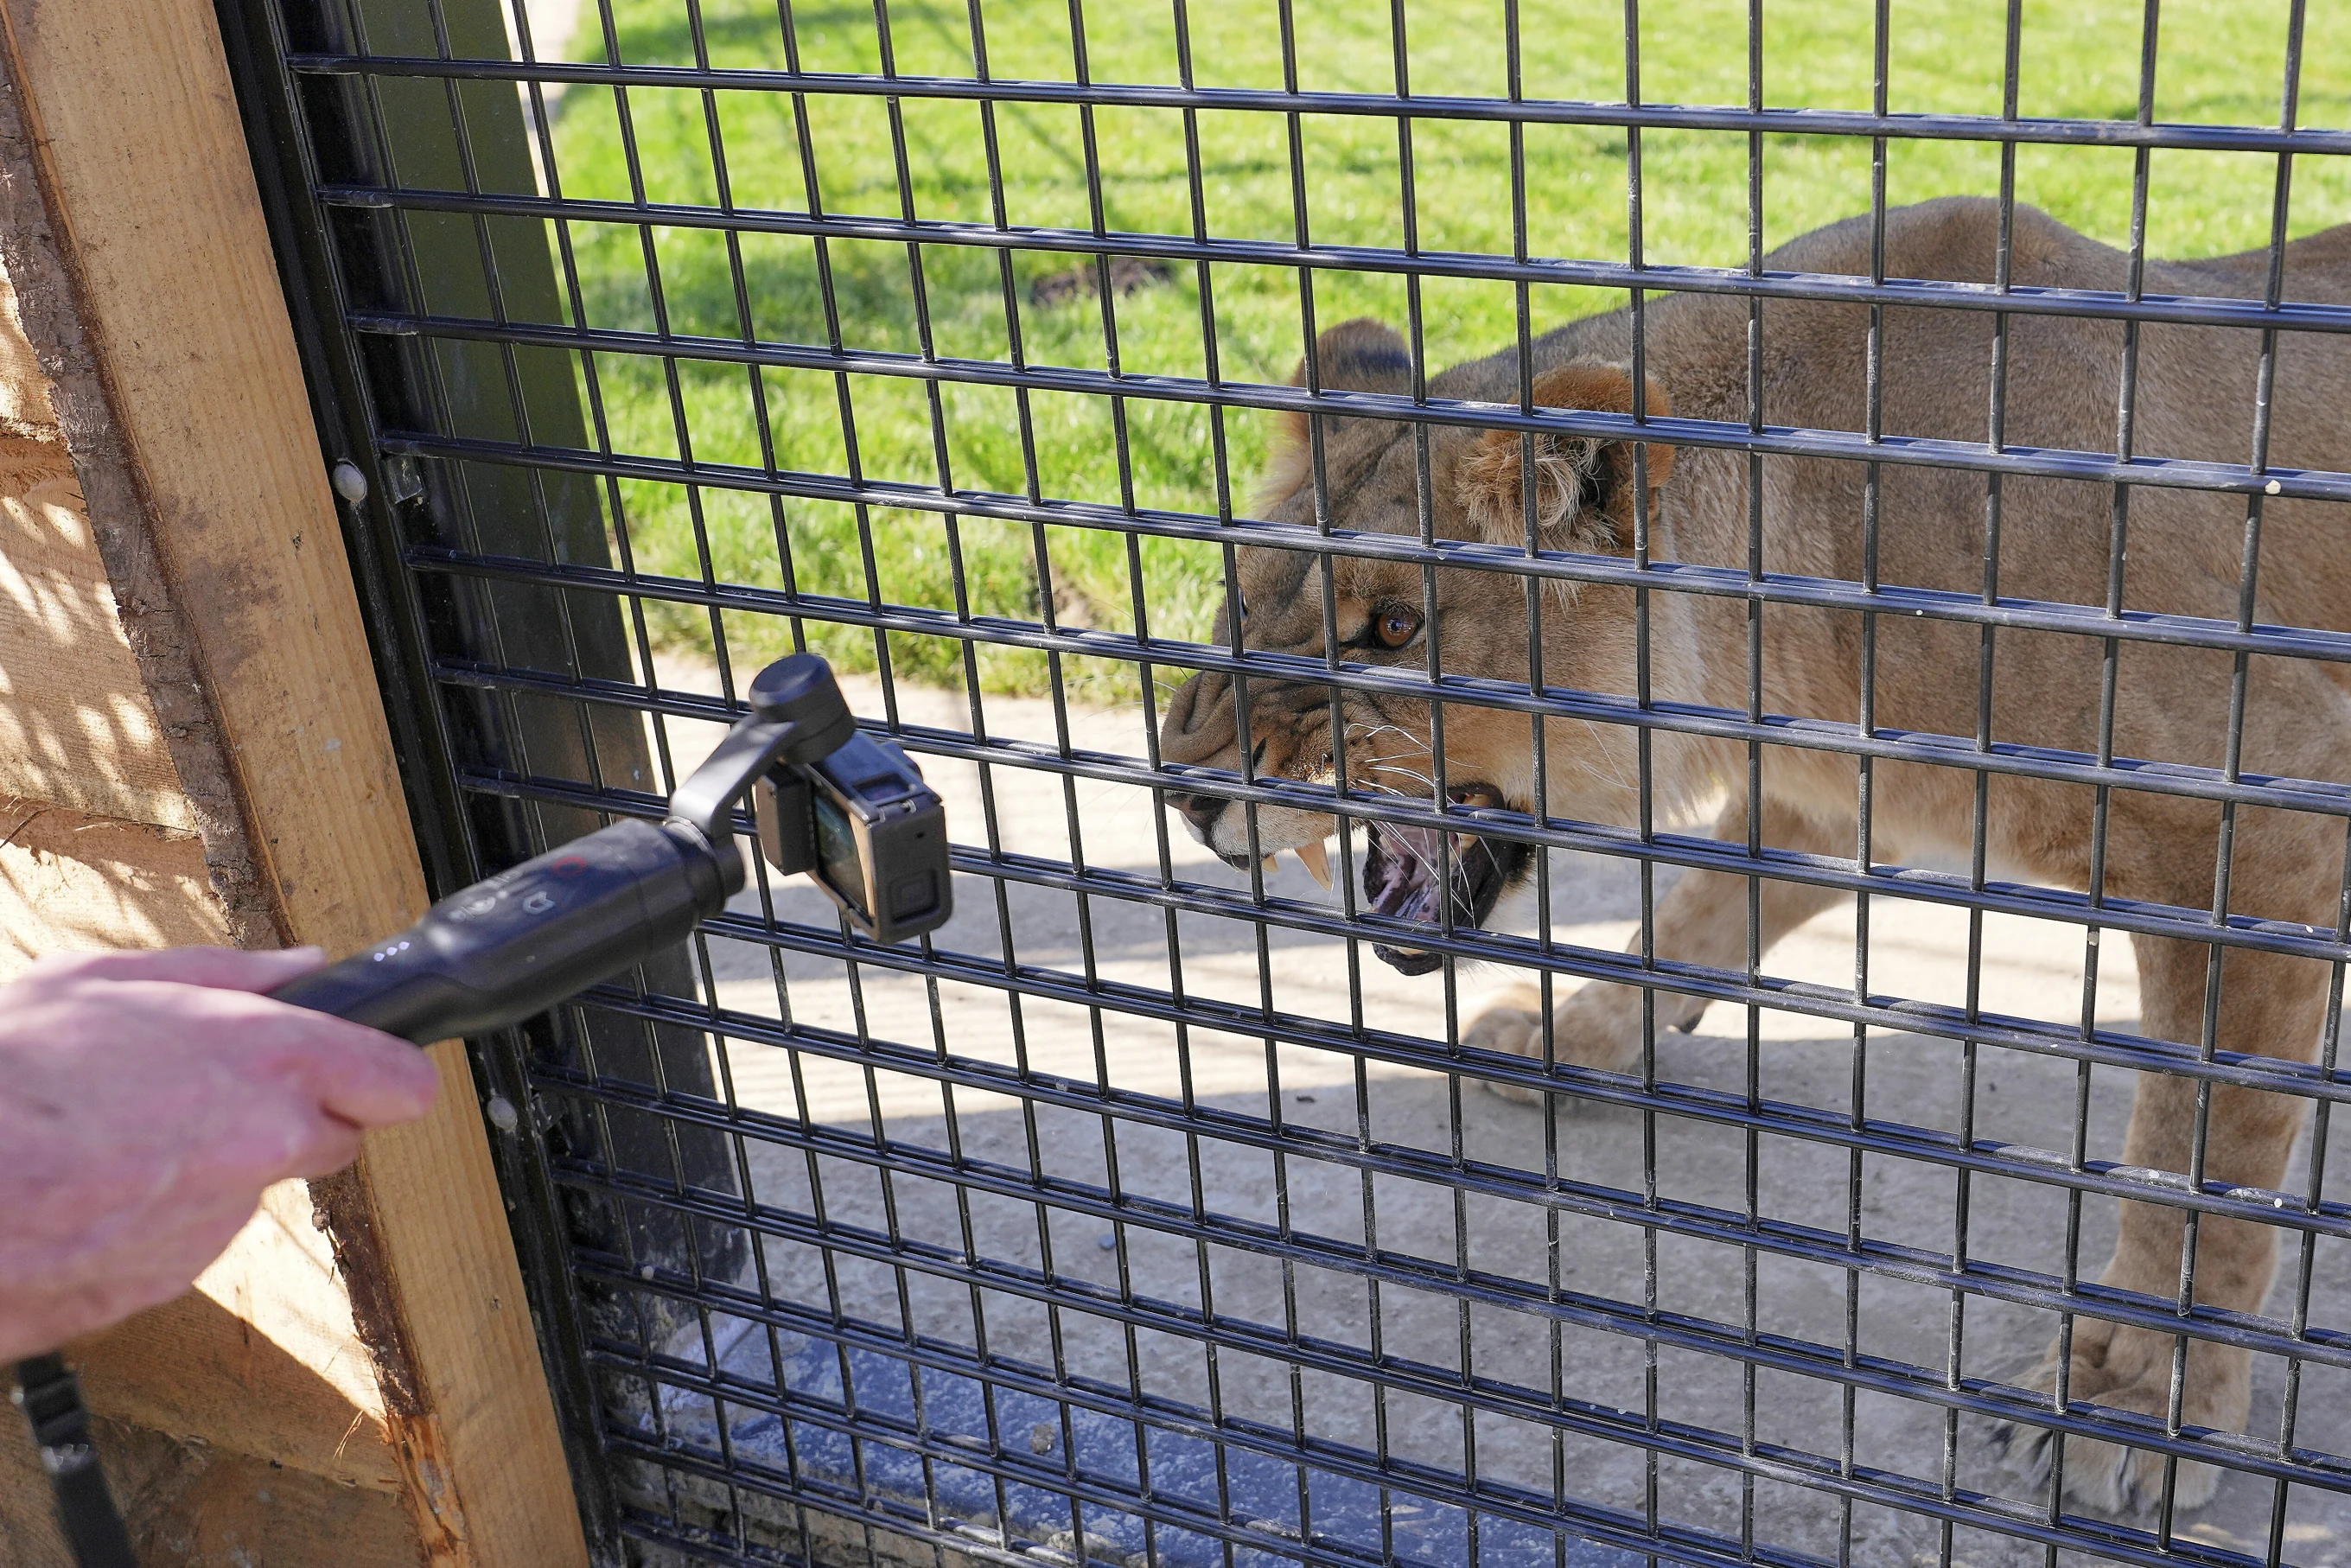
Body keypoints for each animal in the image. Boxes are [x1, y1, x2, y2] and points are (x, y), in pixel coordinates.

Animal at [1156, 197, 2351, 1518]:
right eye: (1241, 597)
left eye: (1395, 627)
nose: (1188, 791)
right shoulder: (1829, 792)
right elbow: (1694, 914)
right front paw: (1574, 1036)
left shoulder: (2264, 826)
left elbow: (2205, 1156)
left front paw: (2144, 1400)